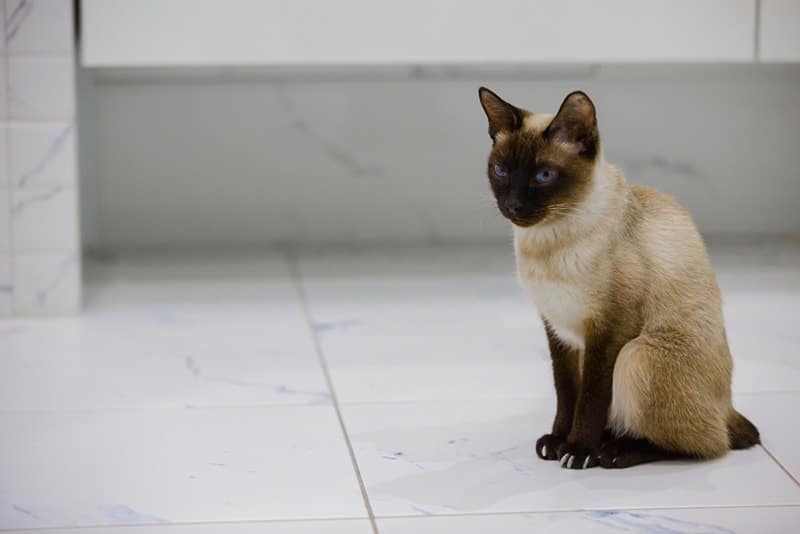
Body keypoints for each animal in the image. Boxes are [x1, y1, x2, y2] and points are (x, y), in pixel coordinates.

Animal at [478, 87, 760, 468]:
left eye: (544, 176)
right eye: (501, 170)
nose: (513, 206)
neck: (547, 242)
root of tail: (728, 407)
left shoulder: (609, 328)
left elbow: (592, 397)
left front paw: (577, 450)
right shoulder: (559, 330)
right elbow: (567, 393)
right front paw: (557, 441)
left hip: (637, 353)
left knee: (709, 444)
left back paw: (612, 451)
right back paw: (606, 440)